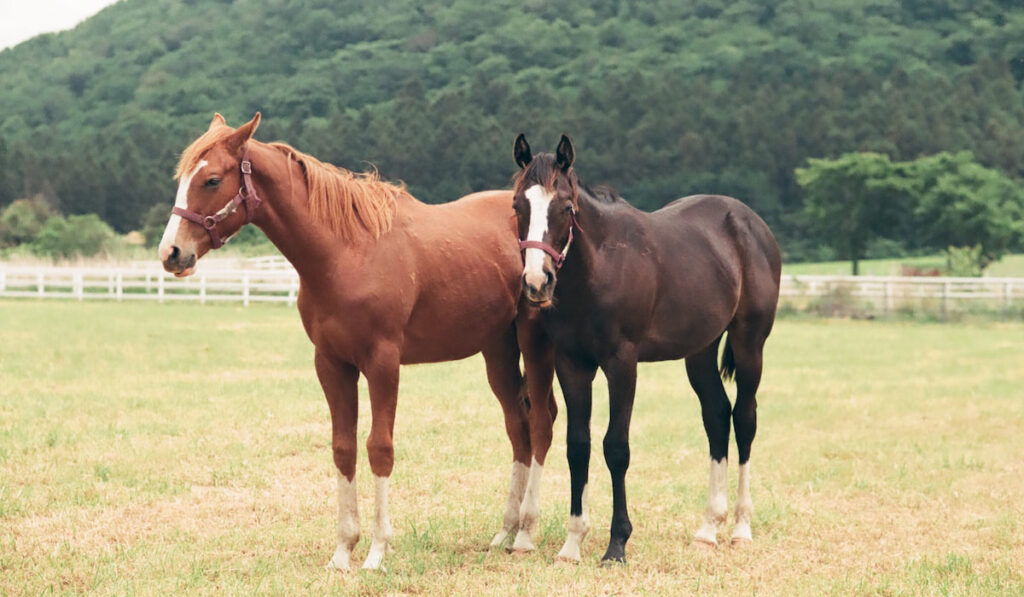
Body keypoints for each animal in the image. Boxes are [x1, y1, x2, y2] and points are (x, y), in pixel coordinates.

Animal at [157, 114, 561, 573]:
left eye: (211, 180)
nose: (171, 253)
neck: (347, 252)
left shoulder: (383, 363)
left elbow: (379, 448)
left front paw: (376, 550)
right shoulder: (332, 364)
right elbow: (343, 448)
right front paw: (343, 550)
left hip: (533, 345)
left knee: (542, 422)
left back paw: (526, 532)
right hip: (497, 351)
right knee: (518, 428)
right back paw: (506, 530)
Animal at [512, 134, 782, 565]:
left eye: (566, 207)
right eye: (518, 206)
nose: (537, 282)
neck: (601, 265)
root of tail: (750, 223)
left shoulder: (622, 364)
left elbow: (616, 448)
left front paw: (616, 544)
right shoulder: (572, 364)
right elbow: (578, 446)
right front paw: (572, 543)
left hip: (749, 344)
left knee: (744, 418)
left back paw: (741, 527)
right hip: (699, 352)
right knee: (717, 416)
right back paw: (709, 528)